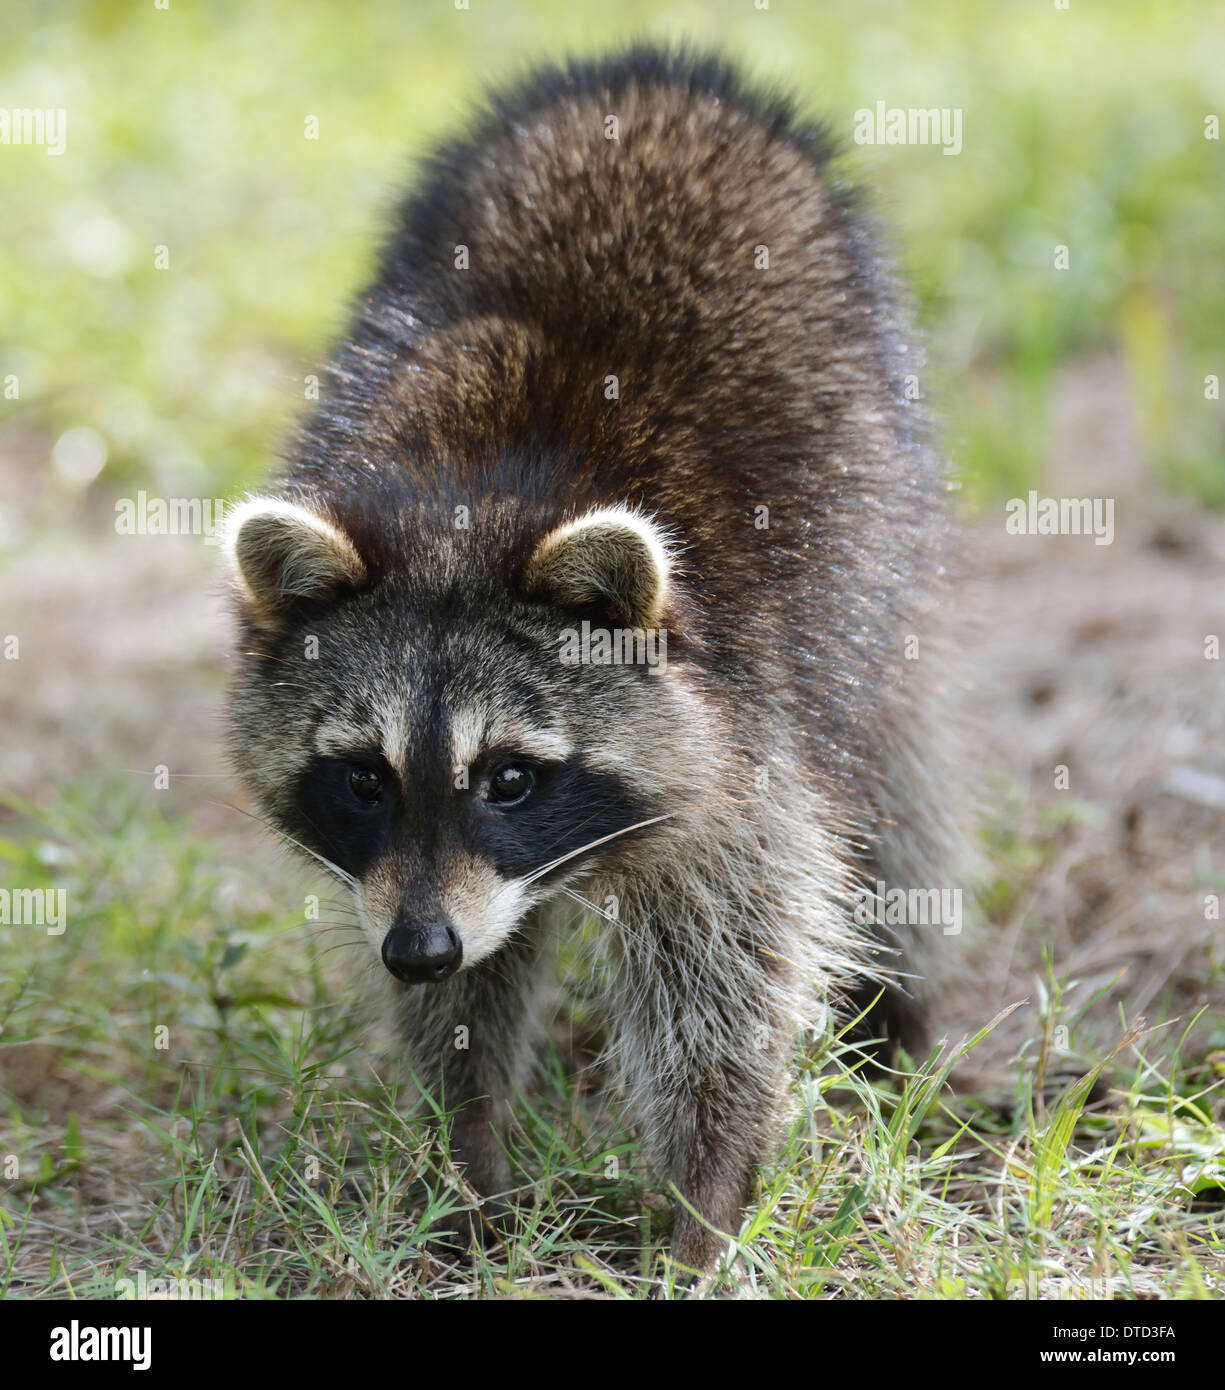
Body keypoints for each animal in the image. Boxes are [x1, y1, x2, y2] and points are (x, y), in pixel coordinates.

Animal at [225, 43, 962, 1278]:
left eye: (511, 777)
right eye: (364, 778)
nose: (416, 951)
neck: (473, 500)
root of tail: (651, 72)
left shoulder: (744, 719)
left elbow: (730, 974)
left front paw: (703, 1209)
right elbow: (468, 999)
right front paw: (466, 1155)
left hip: (885, 515)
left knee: (901, 778)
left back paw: (896, 1009)